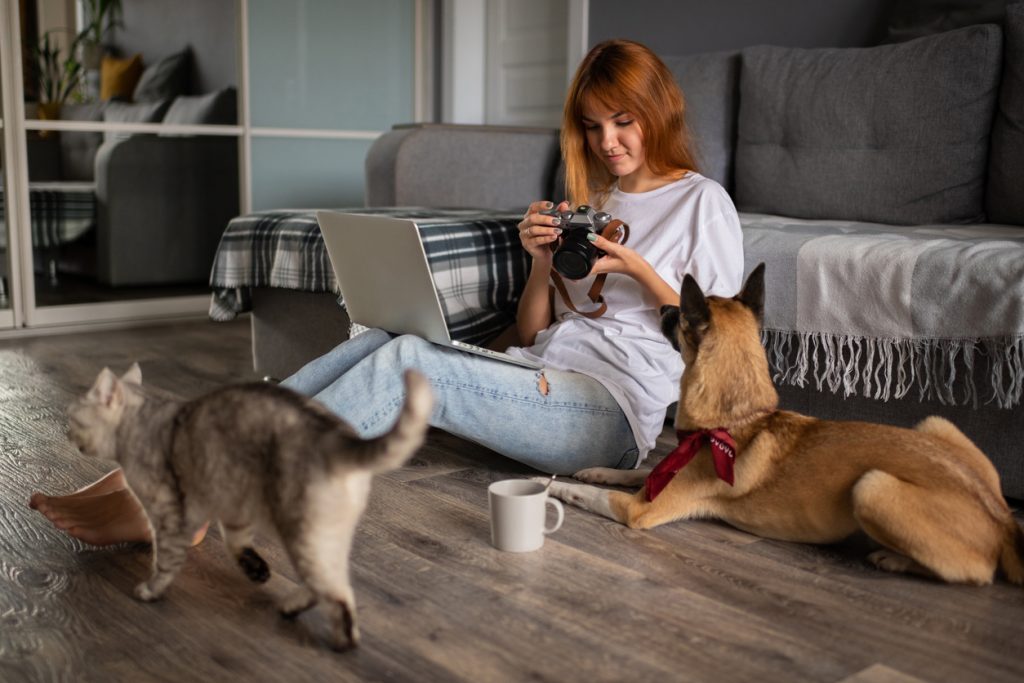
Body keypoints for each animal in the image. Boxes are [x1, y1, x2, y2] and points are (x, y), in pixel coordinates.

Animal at [67, 362, 436, 651]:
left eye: (73, 419)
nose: (65, 433)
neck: (142, 423)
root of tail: (336, 438)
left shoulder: (169, 515)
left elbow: (165, 560)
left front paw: (151, 590)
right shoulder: (233, 507)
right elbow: (237, 544)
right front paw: (256, 570)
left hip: (303, 536)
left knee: (338, 592)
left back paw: (342, 642)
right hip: (322, 539)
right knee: (324, 584)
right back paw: (290, 607)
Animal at [552, 264, 1024, 585]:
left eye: (680, 316)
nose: (663, 304)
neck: (739, 420)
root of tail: (1003, 520)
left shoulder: (639, 510)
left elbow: (595, 495)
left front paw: (556, 488)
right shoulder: (667, 471)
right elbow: (641, 470)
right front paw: (599, 469)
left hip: (871, 487)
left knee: (974, 571)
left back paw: (895, 559)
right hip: (933, 425)